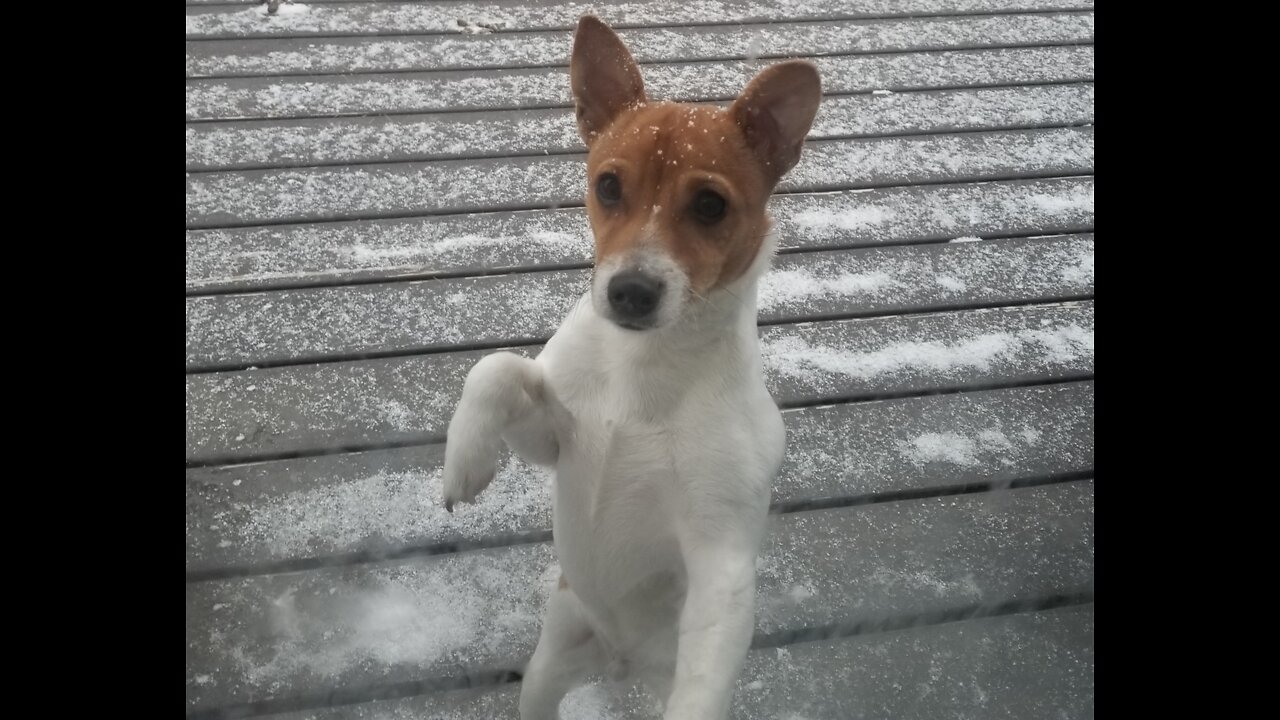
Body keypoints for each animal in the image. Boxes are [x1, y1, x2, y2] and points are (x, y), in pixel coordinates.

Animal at [440, 16, 819, 717]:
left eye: (710, 205)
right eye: (608, 186)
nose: (631, 293)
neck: (644, 376)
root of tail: (619, 661)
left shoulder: (720, 556)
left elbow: (703, 683)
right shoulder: (551, 442)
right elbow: (497, 368)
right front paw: (466, 462)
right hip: (548, 668)